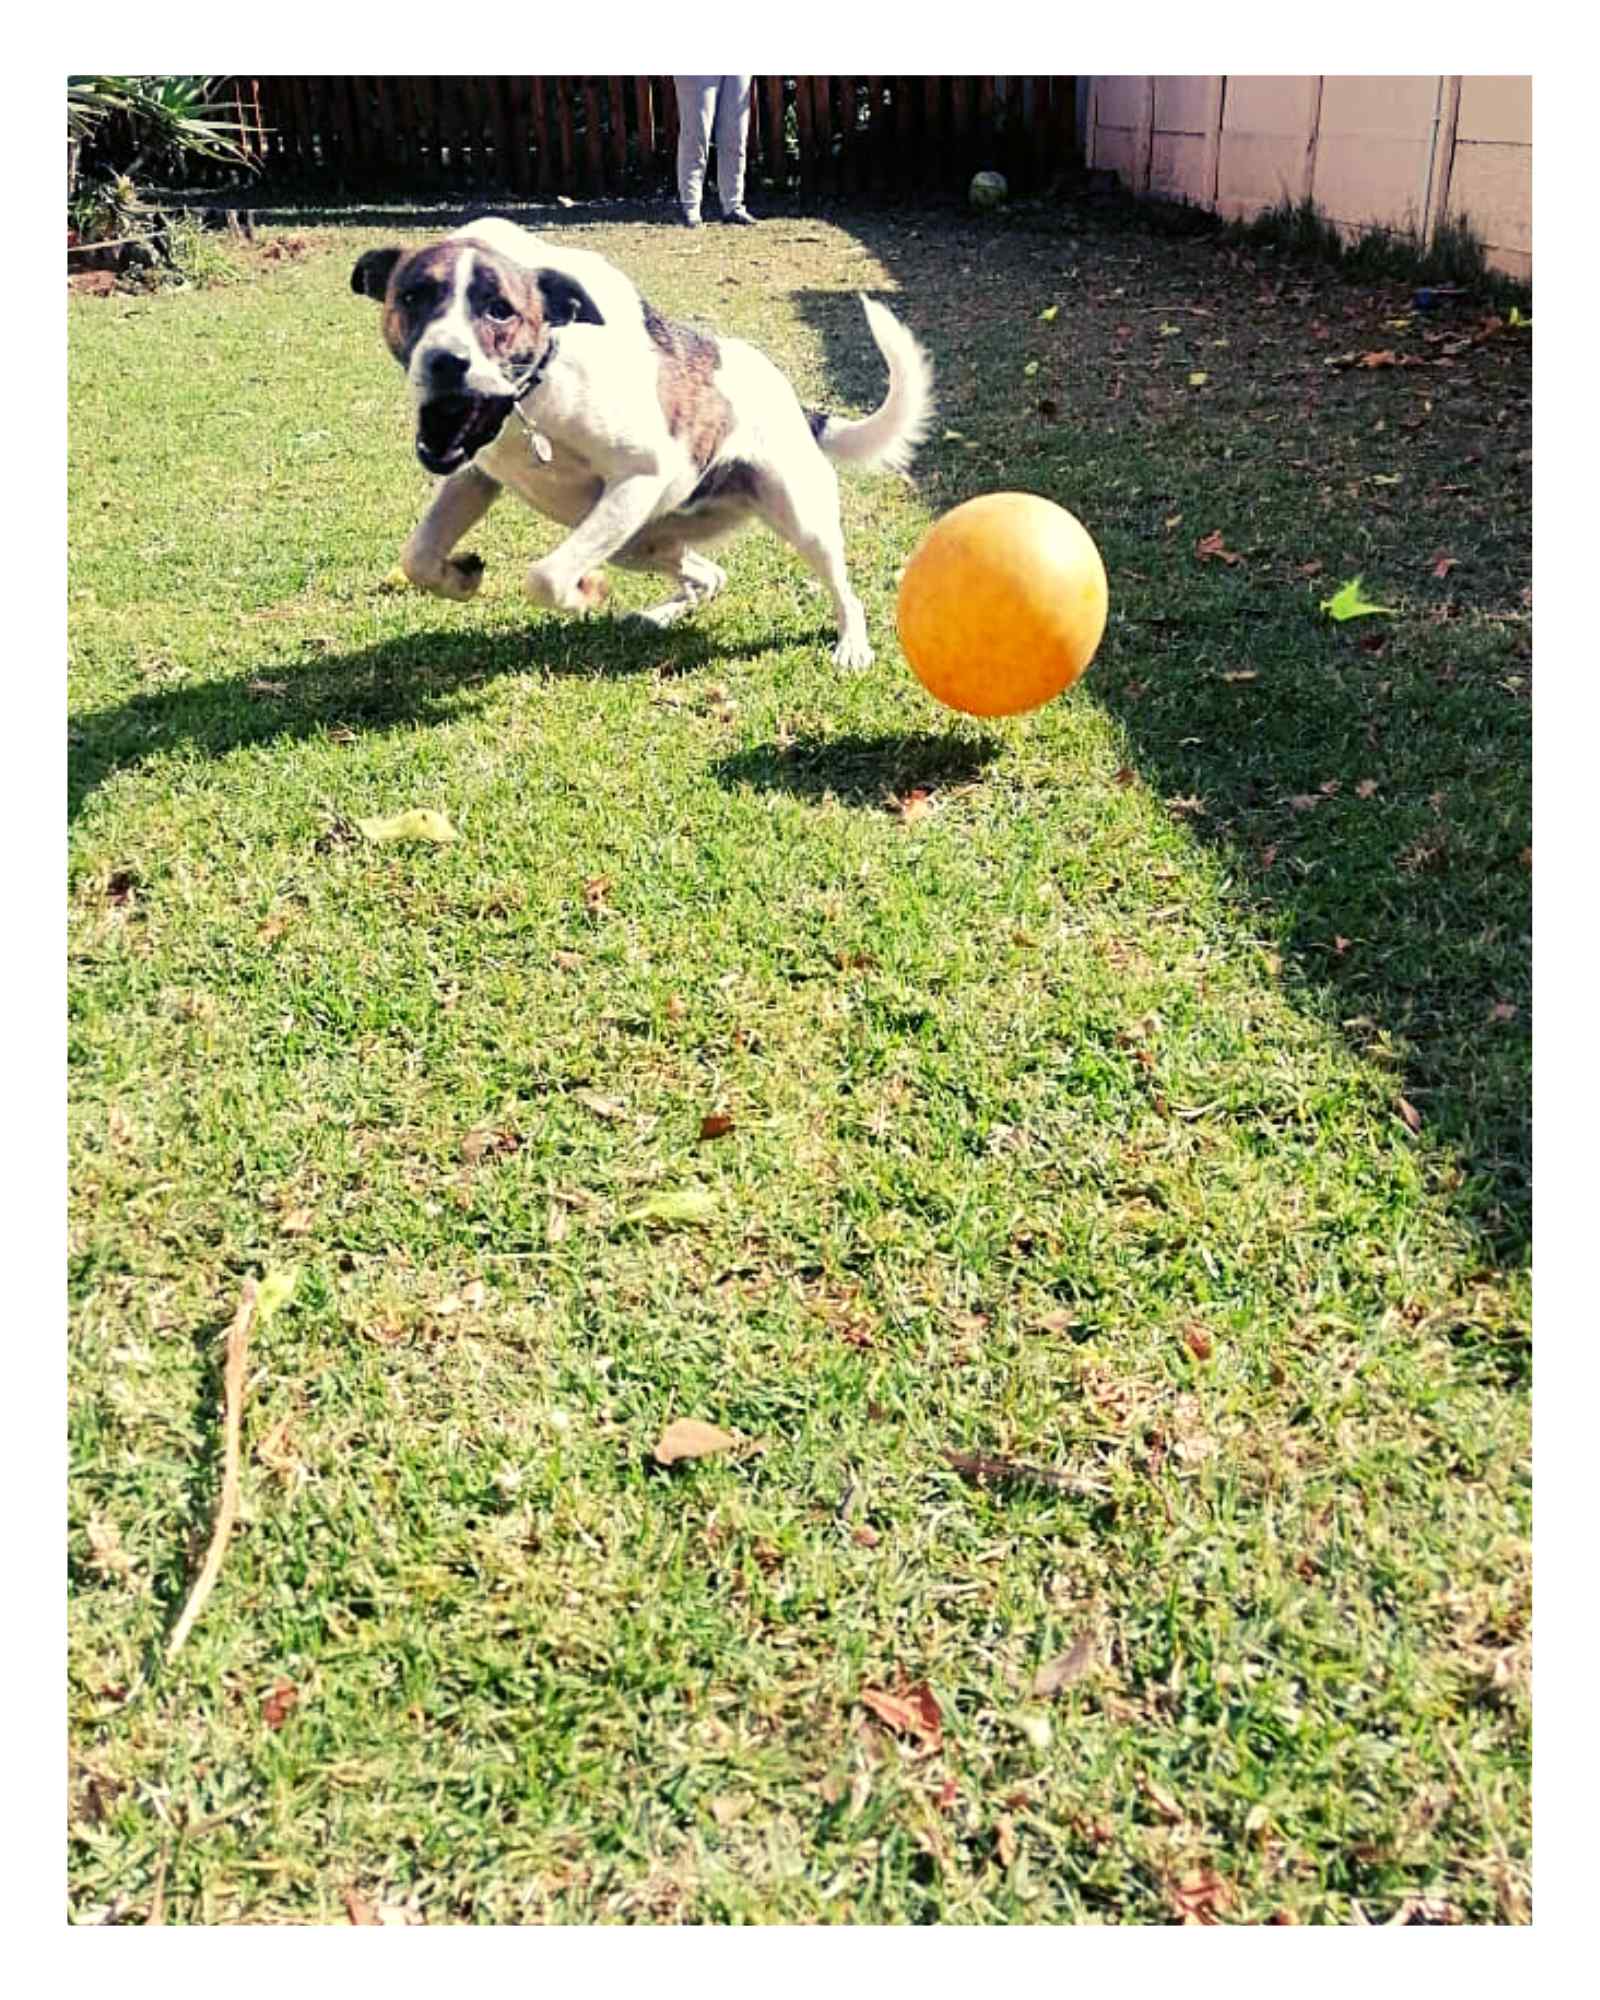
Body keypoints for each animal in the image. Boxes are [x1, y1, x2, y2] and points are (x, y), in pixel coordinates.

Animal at [350, 218, 933, 667]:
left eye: (499, 309)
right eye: (411, 297)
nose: (445, 361)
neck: (534, 394)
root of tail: (799, 407)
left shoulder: (638, 476)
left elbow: (545, 576)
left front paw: (584, 594)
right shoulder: (474, 475)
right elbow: (417, 556)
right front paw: (459, 578)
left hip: (797, 517)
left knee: (843, 591)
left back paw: (852, 646)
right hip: (640, 541)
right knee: (710, 574)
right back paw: (660, 615)